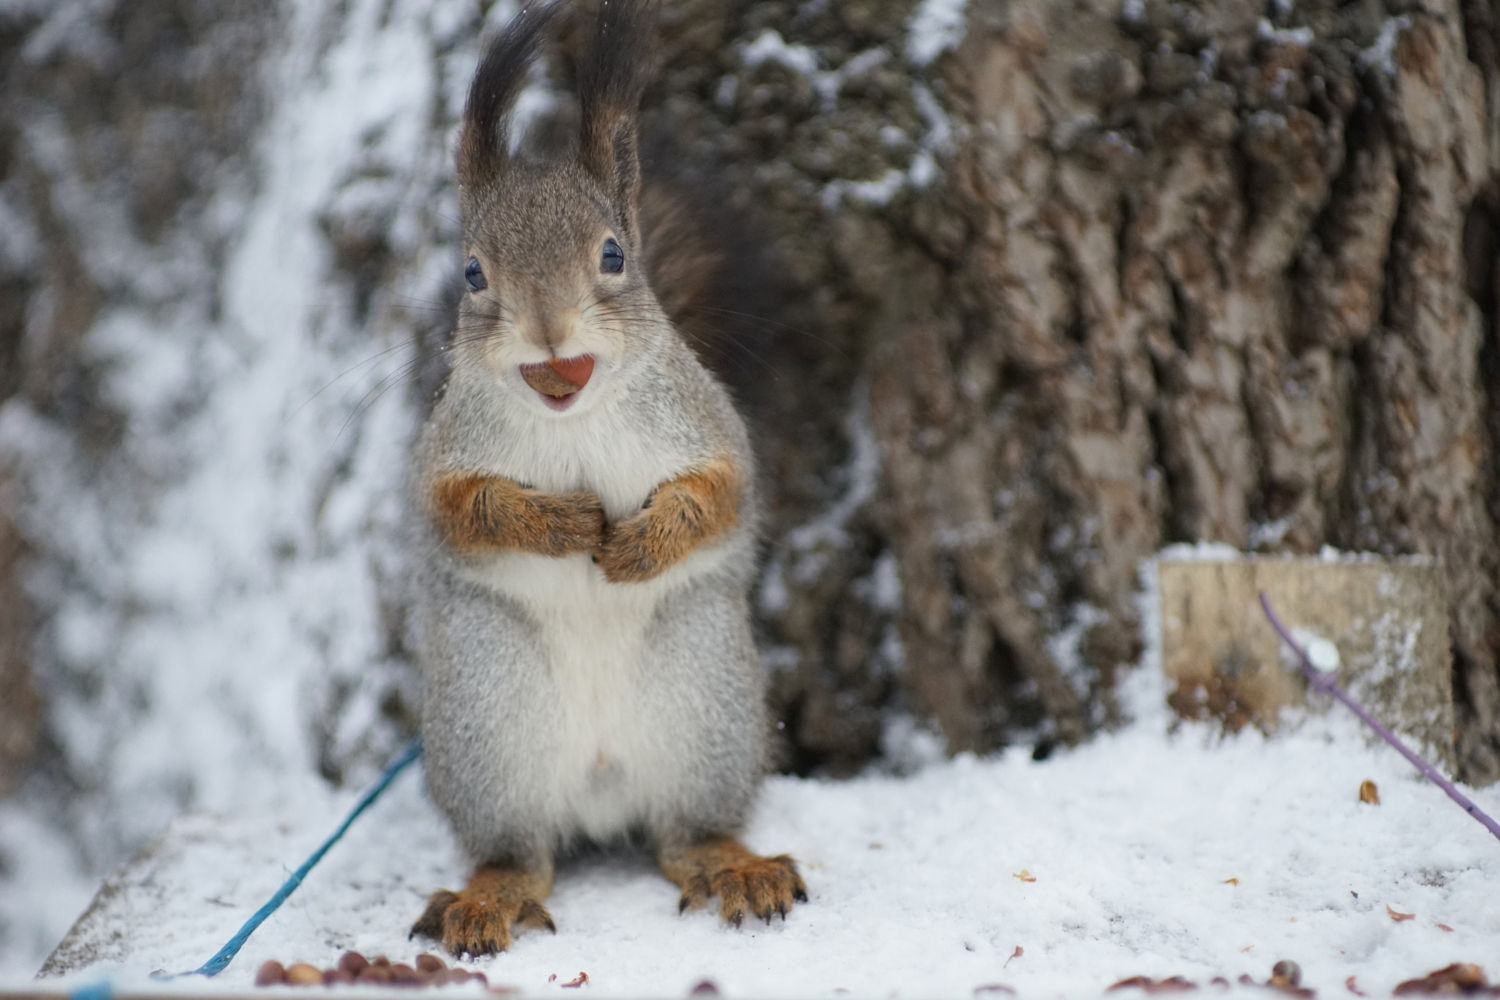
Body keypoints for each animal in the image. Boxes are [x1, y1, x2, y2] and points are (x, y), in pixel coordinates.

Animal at [408, 0, 810, 959]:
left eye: (615, 256)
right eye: (473, 272)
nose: (551, 332)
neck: (574, 420)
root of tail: (598, 789)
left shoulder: (708, 428)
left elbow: (722, 495)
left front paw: (644, 542)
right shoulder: (443, 458)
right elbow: (462, 512)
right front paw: (554, 524)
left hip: (706, 711)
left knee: (685, 834)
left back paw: (736, 869)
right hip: (489, 727)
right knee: (522, 852)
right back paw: (487, 899)